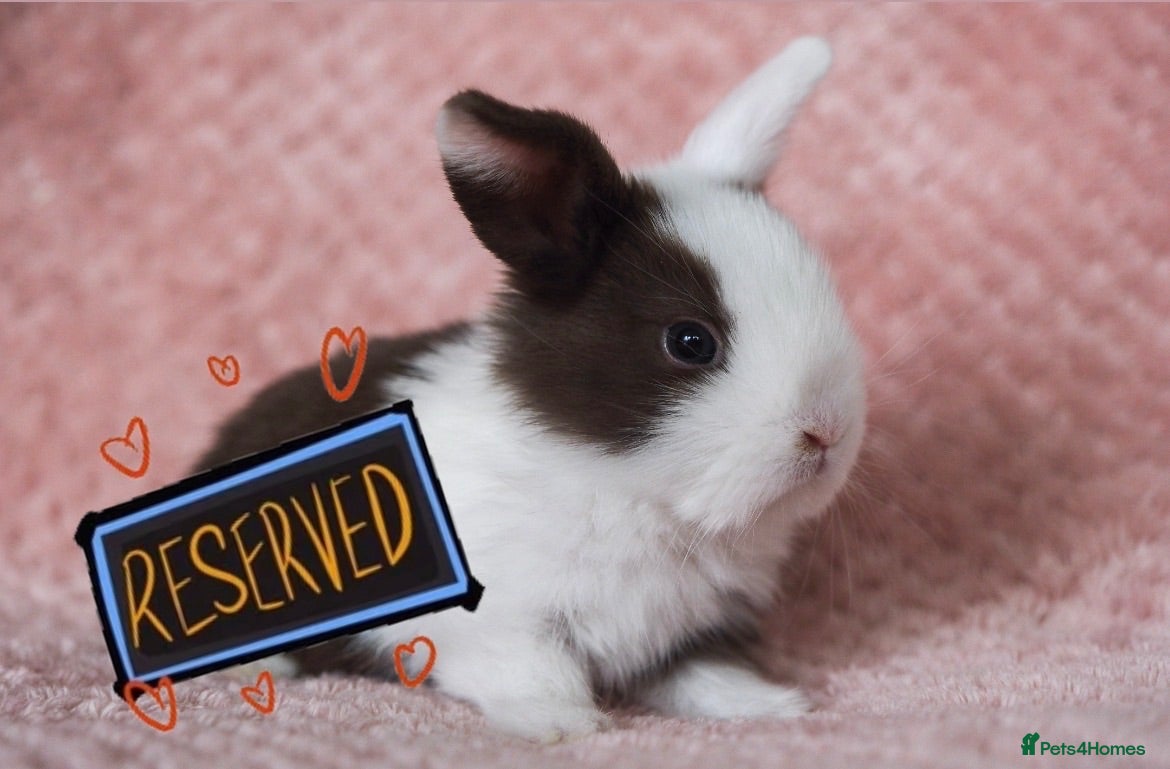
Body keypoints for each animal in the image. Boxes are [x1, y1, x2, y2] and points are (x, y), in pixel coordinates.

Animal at [200, 36, 865, 742]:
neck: (625, 490)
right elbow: (534, 669)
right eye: (690, 341)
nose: (827, 432)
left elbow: (701, 672)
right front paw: (566, 726)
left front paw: (771, 705)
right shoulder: (490, 624)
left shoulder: (688, 629)